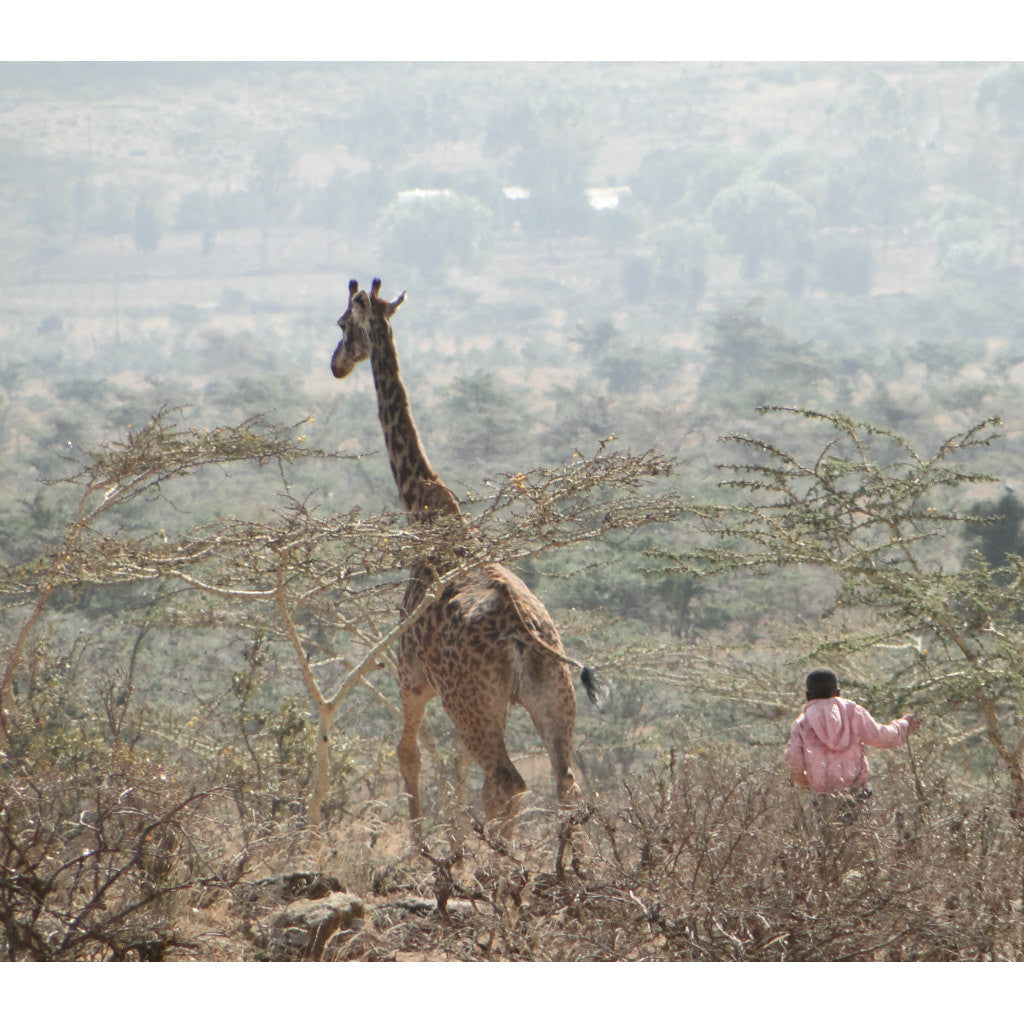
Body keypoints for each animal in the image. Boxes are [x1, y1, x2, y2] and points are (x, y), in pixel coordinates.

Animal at [327, 280, 598, 831]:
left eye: (343, 323)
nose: (335, 365)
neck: (424, 510)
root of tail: (523, 633)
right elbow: (453, 769)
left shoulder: (410, 677)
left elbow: (408, 755)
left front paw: (424, 845)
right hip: (551, 697)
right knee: (563, 784)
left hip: (473, 701)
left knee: (508, 781)